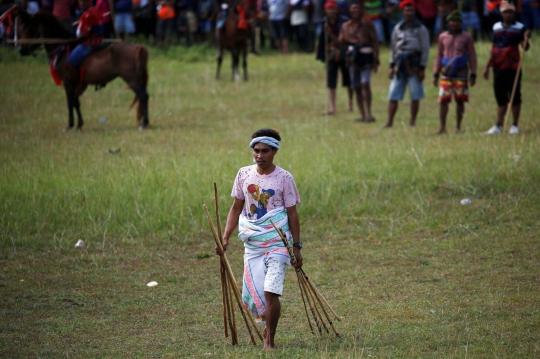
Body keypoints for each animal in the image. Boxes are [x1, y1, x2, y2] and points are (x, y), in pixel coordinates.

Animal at [17, 9, 149, 131]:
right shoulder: (76, 84)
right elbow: (76, 103)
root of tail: (138, 47)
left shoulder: (68, 83)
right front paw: (79, 124)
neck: (62, 51)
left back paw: (144, 124)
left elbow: (70, 103)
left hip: (132, 80)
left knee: (143, 96)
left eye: (30, 30)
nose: (21, 50)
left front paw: (69, 125)